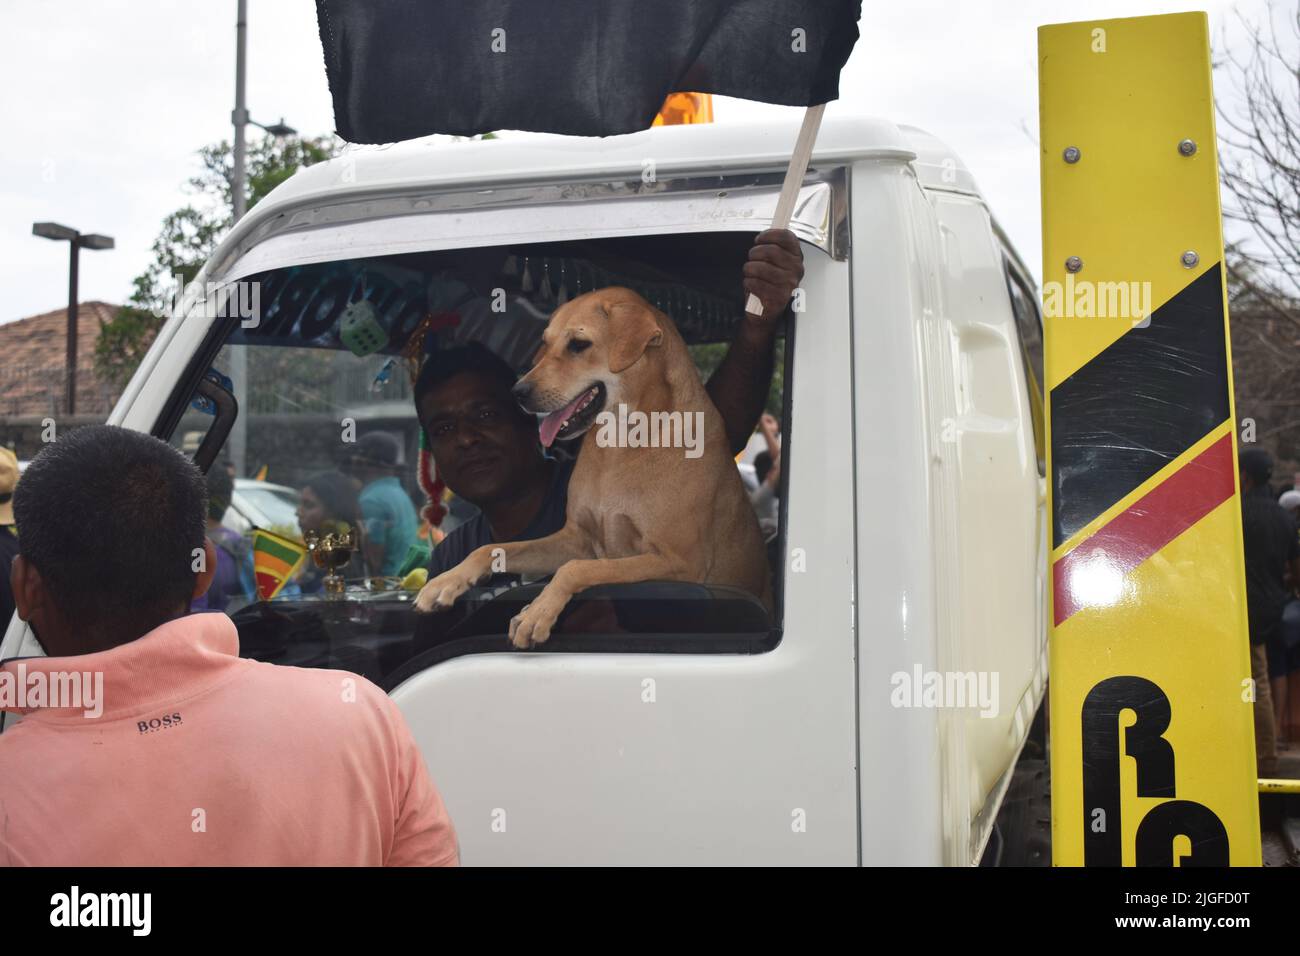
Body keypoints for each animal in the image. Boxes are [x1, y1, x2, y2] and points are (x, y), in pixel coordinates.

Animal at [416, 287, 769, 647]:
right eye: (545, 342)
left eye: (578, 344)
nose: (518, 393)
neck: (620, 445)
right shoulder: (576, 539)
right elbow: (490, 548)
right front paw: (444, 582)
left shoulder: (679, 561)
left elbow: (574, 568)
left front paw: (537, 612)